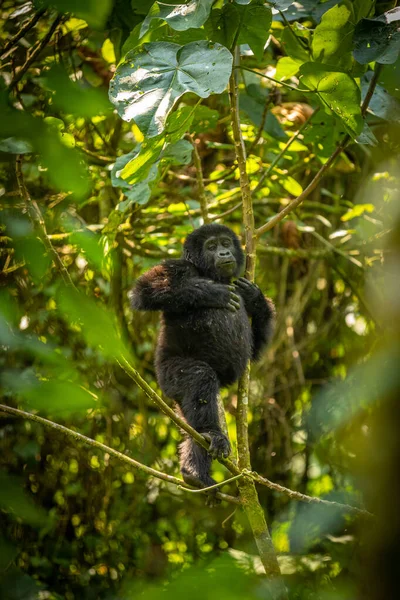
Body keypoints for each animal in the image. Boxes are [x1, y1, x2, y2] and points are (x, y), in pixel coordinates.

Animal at [131, 225, 276, 496]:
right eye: (211, 246)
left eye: (225, 242)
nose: (224, 252)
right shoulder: (178, 268)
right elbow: (144, 290)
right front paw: (212, 293)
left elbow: (254, 351)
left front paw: (256, 298)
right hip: (168, 375)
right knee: (199, 377)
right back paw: (210, 436)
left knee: (193, 420)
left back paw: (194, 471)